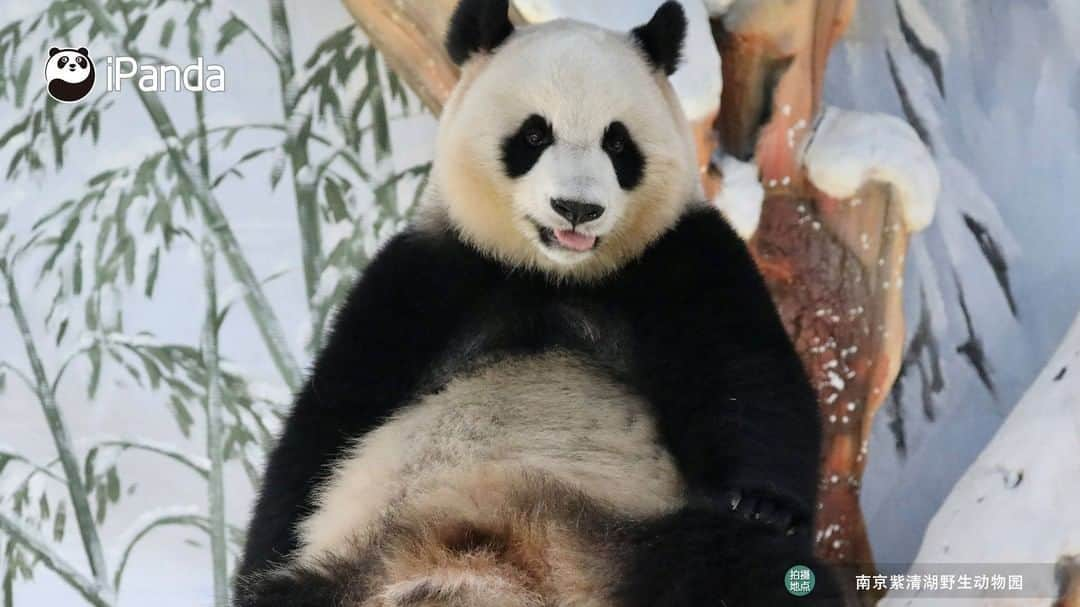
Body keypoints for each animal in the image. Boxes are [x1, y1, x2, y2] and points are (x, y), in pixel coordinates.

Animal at [236, 1, 833, 604]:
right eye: (533, 134)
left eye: (618, 143)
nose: (577, 208)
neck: (555, 277)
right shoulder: (431, 276)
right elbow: (332, 412)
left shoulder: (683, 260)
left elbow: (749, 380)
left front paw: (761, 502)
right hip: (356, 564)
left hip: (632, 538)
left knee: (744, 566)